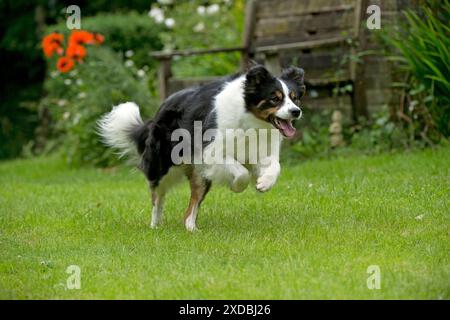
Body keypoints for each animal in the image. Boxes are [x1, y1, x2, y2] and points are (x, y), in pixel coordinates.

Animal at [96, 64, 304, 230]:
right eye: (275, 98)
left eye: (295, 98)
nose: (296, 112)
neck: (250, 120)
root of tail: (160, 108)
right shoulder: (210, 152)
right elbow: (241, 172)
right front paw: (237, 187)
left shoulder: (260, 149)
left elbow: (275, 167)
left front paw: (264, 184)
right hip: (163, 165)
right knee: (157, 196)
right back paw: (155, 225)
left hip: (199, 175)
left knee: (189, 209)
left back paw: (192, 229)